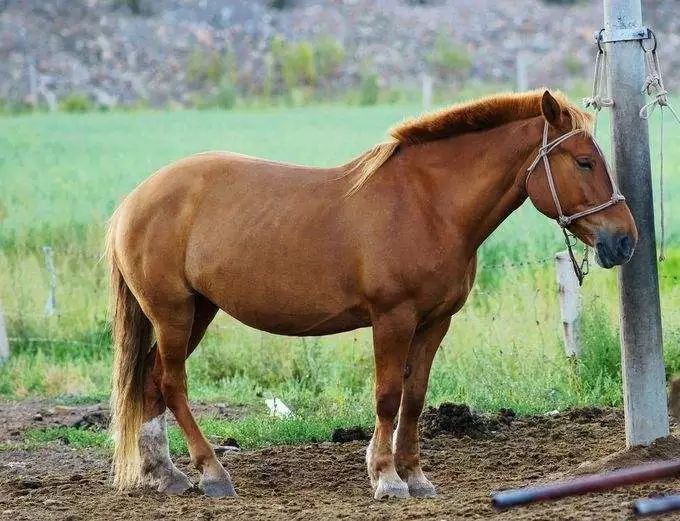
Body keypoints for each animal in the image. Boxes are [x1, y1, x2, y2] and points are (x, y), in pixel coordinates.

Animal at [106, 90, 637, 500]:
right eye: (585, 161)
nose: (624, 240)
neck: (428, 205)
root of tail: (134, 200)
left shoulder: (434, 322)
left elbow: (415, 397)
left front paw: (415, 476)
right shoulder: (392, 319)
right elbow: (387, 396)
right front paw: (386, 478)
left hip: (199, 312)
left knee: (151, 382)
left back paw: (166, 475)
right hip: (173, 313)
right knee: (172, 384)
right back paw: (212, 473)